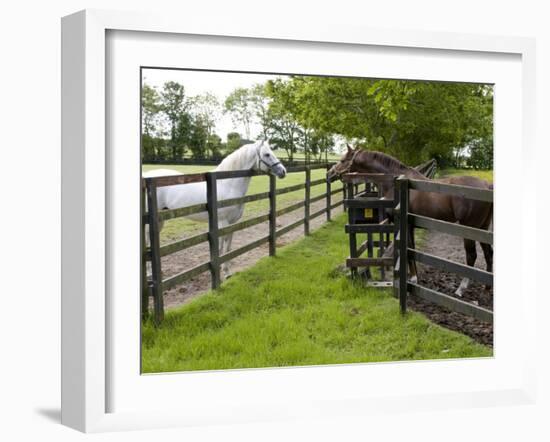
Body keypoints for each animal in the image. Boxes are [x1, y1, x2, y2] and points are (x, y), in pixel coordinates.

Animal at [142, 142, 288, 278]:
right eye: (267, 154)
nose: (283, 171)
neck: (227, 184)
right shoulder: (222, 223)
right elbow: (221, 248)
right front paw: (222, 272)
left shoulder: (232, 223)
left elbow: (228, 248)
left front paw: (227, 272)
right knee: (148, 241)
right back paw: (149, 273)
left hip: (161, 219)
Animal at [328, 146, 496, 296]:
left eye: (343, 160)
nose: (329, 174)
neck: (395, 181)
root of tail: (486, 185)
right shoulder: (412, 226)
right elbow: (412, 249)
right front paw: (414, 277)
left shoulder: (406, 225)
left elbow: (408, 250)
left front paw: (413, 280)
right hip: (482, 228)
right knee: (488, 253)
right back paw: (487, 287)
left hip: (470, 229)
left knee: (472, 256)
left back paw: (461, 289)